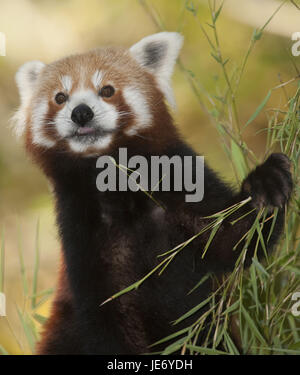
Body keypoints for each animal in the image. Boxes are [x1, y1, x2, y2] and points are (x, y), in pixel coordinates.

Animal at [14, 32, 292, 356]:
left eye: (107, 90)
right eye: (60, 97)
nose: (81, 112)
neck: (117, 189)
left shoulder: (179, 183)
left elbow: (234, 238)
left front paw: (266, 183)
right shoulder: (81, 231)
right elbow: (107, 316)